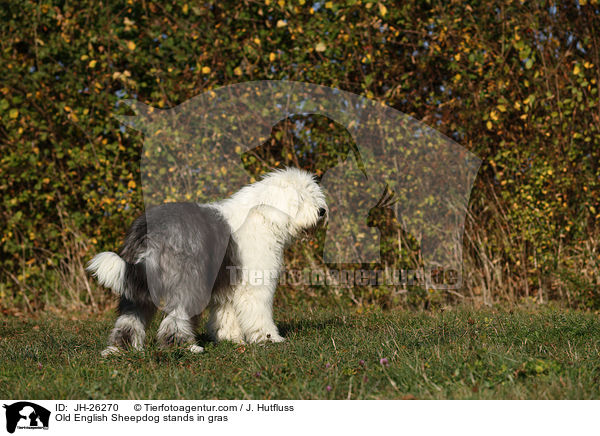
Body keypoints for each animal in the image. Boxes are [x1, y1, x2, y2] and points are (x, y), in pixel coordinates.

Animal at [86, 167, 326, 354]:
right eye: (301, 198)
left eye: (315, 195)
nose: (322, 211)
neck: (266, 217)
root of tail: (145, 231)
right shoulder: (254, 284)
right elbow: (259, 313)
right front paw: (270, 338)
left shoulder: (229, 283)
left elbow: (227, 312)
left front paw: (230, 338)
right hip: (186, 280)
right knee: (175, 317)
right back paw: (184, 347)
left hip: (137, 282)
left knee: (129, 317)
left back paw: (120, 349)